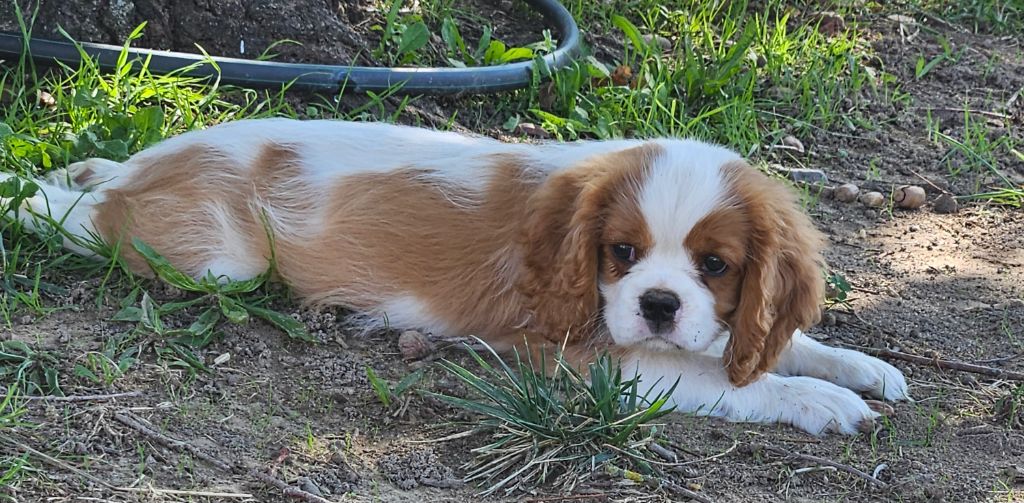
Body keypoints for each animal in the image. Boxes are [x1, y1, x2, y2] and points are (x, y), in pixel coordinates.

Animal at [3, 118, 909, 434]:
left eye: (715, 265)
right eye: (621, 252)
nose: (656, 304)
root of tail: (156, 160)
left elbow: (776, 344)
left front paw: (860, 367)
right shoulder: (584, 359)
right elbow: (722, 380)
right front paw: (821, 402)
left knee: (91, 181)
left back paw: (84, 165)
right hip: (222, 263)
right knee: (68, 210)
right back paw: (26, 189)